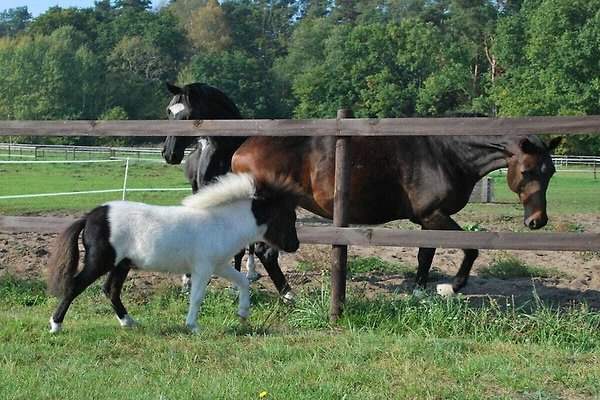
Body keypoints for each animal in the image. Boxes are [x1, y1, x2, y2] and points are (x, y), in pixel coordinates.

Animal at [47, 172, 300, 332]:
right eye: (287, 216)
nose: (294, 246)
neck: (222, 223)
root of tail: (91, 216)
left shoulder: (219, 265)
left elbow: (243, 282)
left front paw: (243, 315)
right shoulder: (203, 268)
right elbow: (197, 297)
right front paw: (193, 326)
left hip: (122, 264)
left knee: (110, 290)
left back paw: (129, 323)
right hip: (101, 260)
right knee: (76, 285)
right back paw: (55, 325)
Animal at [162, 82, 560, 296]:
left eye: (551, 171)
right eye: (526, 171)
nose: (537, 221)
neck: (443, 149)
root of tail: (244, 145)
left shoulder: (427, 219)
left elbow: (425, 255)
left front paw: (420, 291)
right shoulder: (435, 215)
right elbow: (471, 249)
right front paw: (452, 287)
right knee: (263, 250)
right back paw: (287, 294)